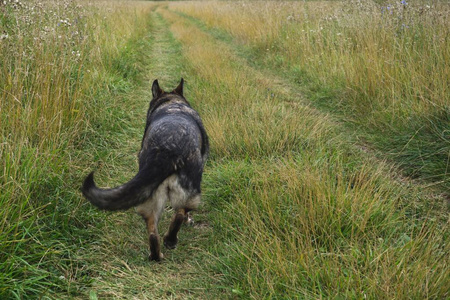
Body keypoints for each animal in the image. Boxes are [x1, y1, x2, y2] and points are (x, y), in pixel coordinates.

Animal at [81, 79, 209, 260]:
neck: (172, 103)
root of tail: (167, 148)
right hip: (189, 192)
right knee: (179, 214)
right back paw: (170, 240)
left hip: (150, 196)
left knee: (153, 232)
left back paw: (156, 255)